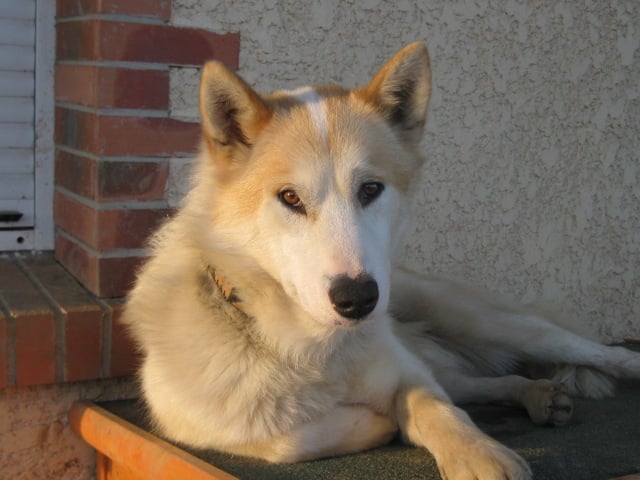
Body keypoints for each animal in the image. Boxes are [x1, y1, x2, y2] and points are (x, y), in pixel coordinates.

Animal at [123, 42, 640, 480]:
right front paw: (381, 425)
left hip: (487, 322)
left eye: (370, 189)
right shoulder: (204, 426)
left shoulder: (407, 374)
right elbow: (292, 439)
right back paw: (537, 395)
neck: (313, 350)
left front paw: (480, 455)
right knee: (480, 382)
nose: (358, 299)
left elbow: (439, 410)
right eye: (290, 198)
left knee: (586, 351)